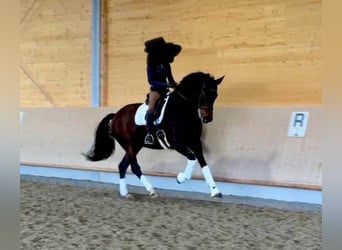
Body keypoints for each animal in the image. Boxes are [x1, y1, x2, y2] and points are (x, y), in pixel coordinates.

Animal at [83, 71, 224, 198]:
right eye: (204, 92)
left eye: (216, 95)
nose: (207, 118)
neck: (183, 109)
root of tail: (116, 116)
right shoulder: (176, 143)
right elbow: (192, 158)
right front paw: (180, 178)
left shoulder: (195, 142)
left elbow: (203, 163)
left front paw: (215, 191)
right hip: (130, 145)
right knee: (134, 167)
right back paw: (151, 191)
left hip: (136, 146)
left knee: (122, 166)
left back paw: (125, 193)